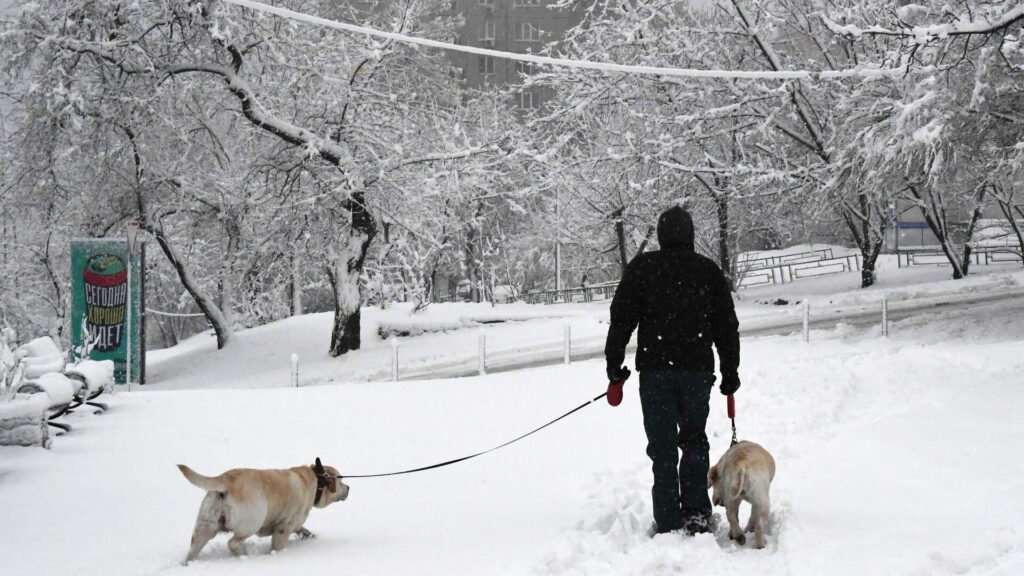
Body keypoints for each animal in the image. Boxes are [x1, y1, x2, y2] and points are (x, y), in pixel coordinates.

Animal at [178, 457, 350, 561]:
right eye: (341, 481)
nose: (348, 487)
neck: (315, 479)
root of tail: (226, 480)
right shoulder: (284, 527)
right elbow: (278, 544)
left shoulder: (295, 523)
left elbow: (303, 529)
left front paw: (309, 535)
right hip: (253, 521)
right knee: (233, 542)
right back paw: (244, 555)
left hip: (203, 529)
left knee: (192, 550)